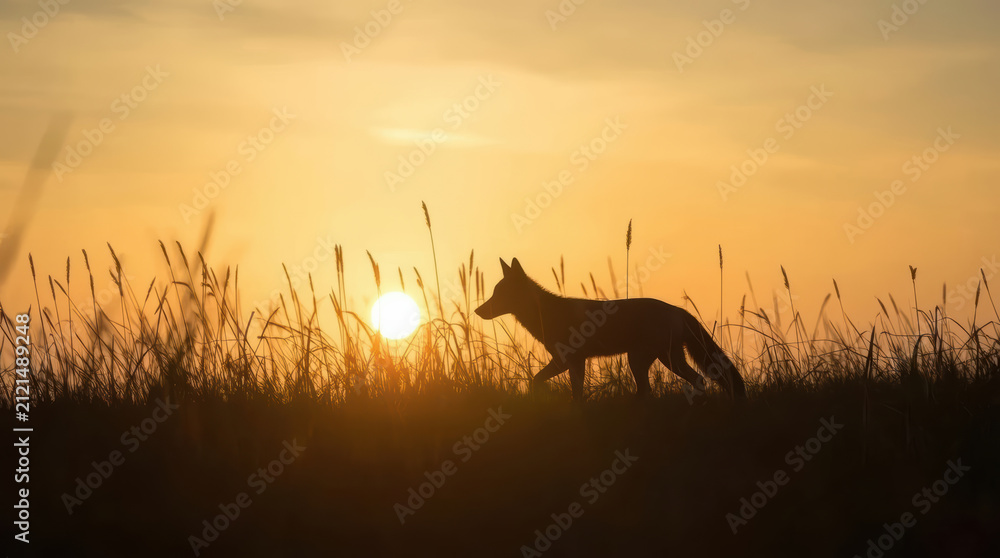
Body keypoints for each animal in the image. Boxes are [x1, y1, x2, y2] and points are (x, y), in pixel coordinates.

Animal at [474, 258, 746, 402]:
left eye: (498, 295)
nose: (477, 311)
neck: (547, 314)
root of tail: (678, 310)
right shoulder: (570, 362)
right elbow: (555, 386)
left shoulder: (569, 361)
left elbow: (555, 387)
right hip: (658, 360)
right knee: (676, 384)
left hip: (649, 360)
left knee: (673, 385)